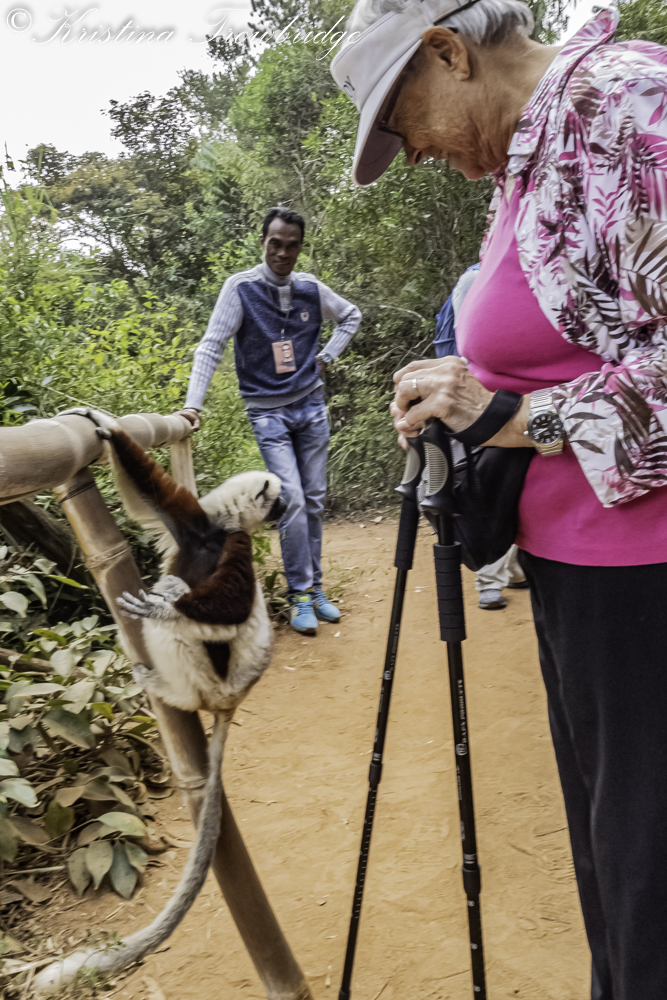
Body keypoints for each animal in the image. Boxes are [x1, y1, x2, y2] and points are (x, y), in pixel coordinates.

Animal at [35, 411, 286, 993]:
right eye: (279, 503)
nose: (288, 516)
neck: (215, 534)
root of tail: (232, 696)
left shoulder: (235, 546)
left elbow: (232, 605)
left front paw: (166, 610)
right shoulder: (191, 522)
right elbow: (147, 490)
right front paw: (99, 424)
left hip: (211, 677)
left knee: (181, 605)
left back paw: (167, 673)